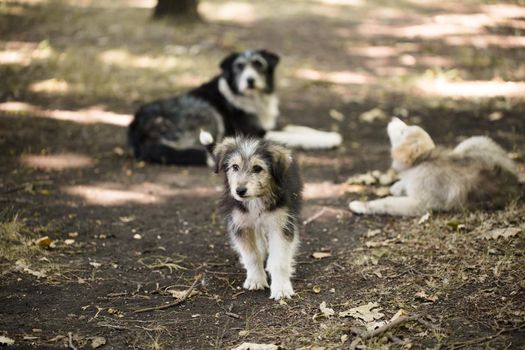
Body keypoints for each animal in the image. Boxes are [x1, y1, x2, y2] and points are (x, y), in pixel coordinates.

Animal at [129, 49, 342, 165]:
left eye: (258, 64)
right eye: (239, 66)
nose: (250, 80)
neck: (252, 98)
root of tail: (137, 129)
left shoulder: (270, 124)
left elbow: (300, 128)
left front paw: (329, 135)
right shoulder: (256, 132)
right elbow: (293, 136)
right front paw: (327, 141)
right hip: (207, 112)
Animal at [199, 130, 300, 300]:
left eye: (257, 168)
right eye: (234, 166)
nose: (239, 191)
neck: (256, 200)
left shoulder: (281, 224)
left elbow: (280, 259)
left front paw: (281, 288)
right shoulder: (241, 224)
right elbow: (251, 255)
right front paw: (256, 279)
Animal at [348, 117, 520, 216]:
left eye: (403, 131)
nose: (394, 117)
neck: (420, 163)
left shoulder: (421, 204)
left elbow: (388, 202)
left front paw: (362, 205)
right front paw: (398, 186)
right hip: (471, 143)